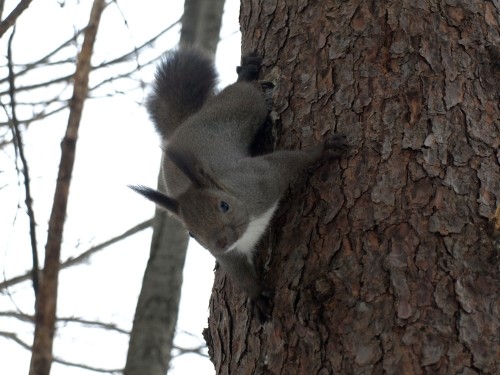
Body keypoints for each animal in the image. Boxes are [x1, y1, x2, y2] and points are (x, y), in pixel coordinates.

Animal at [131, 47, 346, 324]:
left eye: (224, 205)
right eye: (191, 233)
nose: (221, 241)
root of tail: (183, 125)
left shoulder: (262, 180)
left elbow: (287, 161)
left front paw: (323, 150)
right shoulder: (229, 254)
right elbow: (239, 273)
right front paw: (256, 295)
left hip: (242, 106)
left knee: (246, 91)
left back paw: (245, 75)